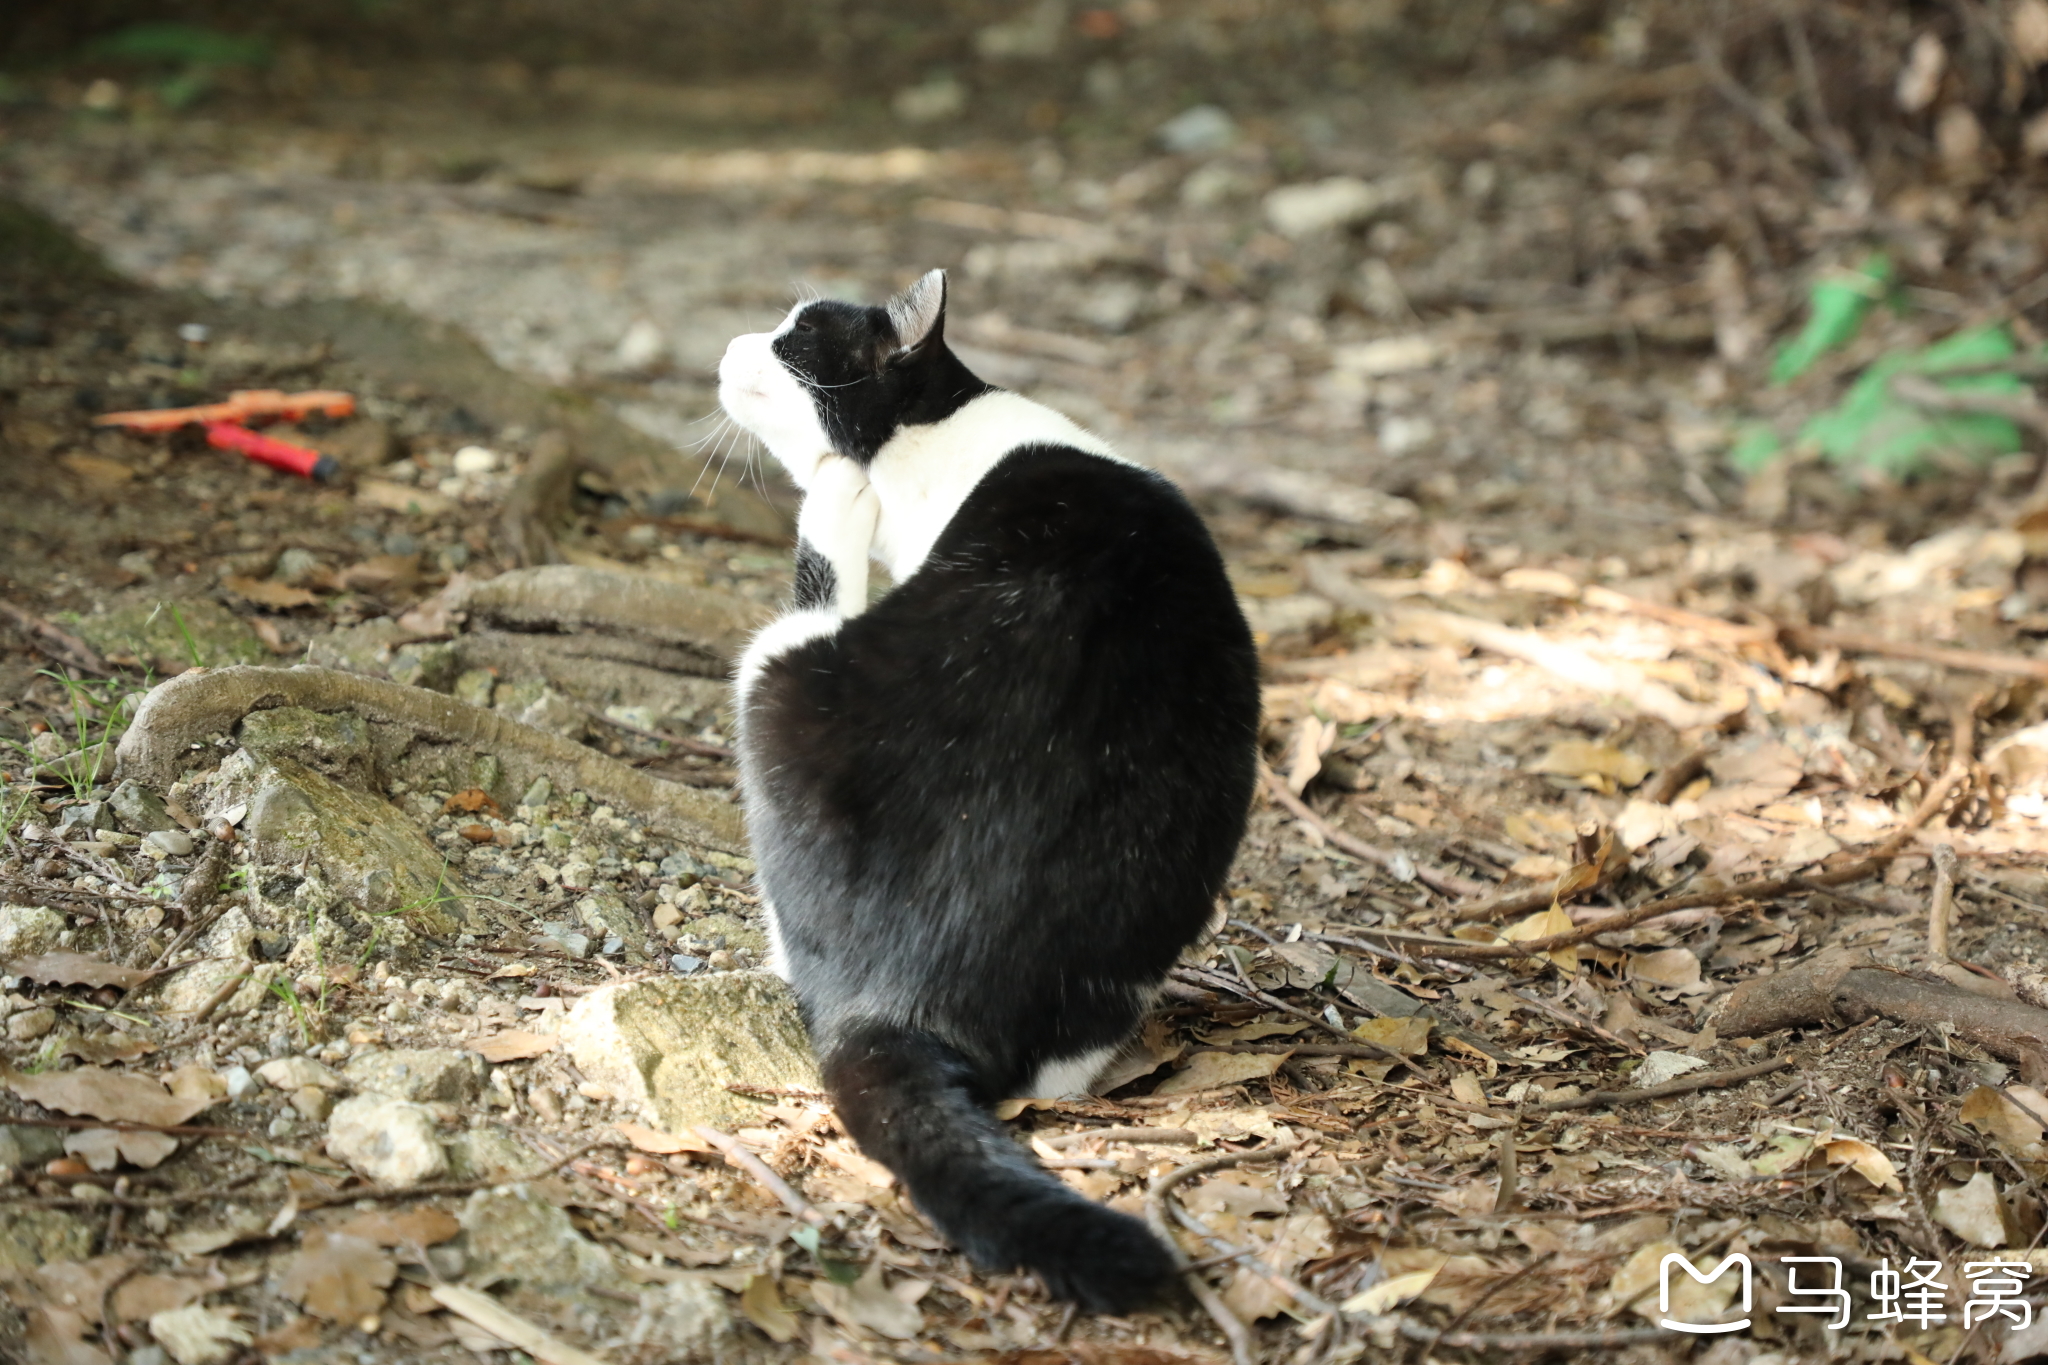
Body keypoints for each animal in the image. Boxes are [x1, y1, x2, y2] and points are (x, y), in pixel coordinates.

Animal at [720, 270, 1261, 1309]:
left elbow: (832, 524)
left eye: (791, 341)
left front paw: (836, 492)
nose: (729, 346)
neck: (930, 437)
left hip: (774, 676)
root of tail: (899, 1002)